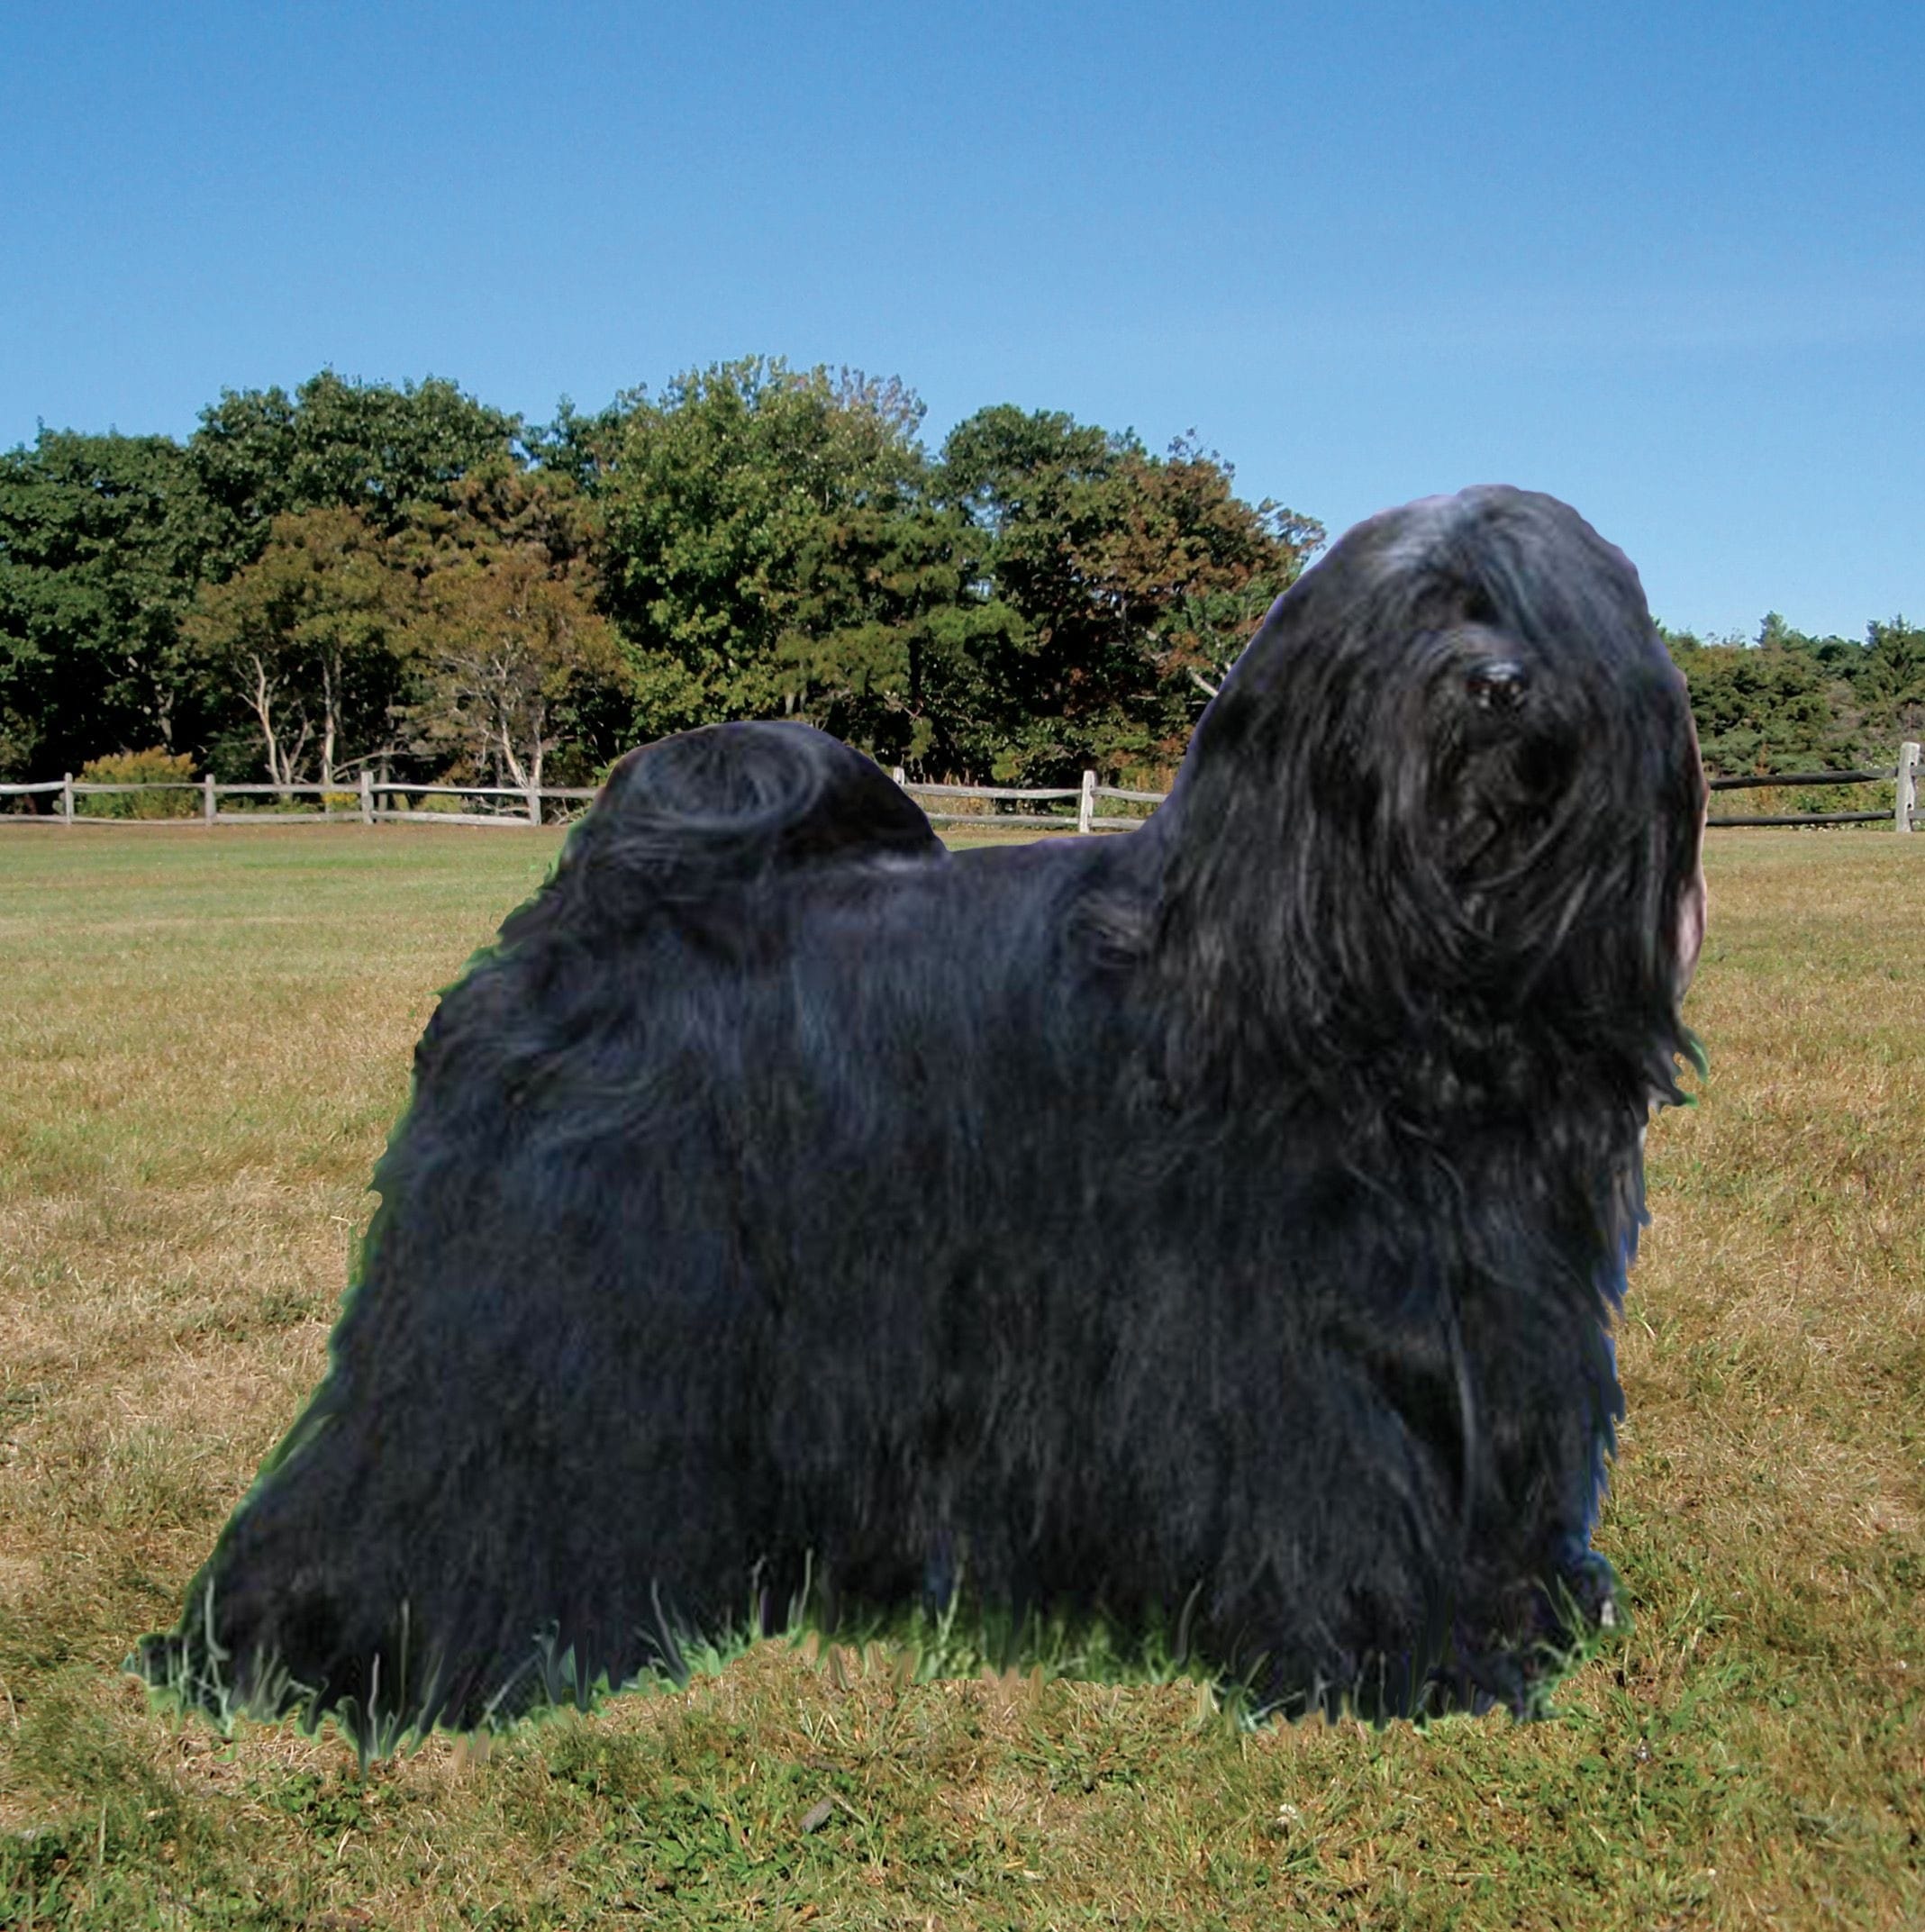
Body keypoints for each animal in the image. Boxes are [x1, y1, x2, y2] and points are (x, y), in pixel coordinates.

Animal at [142, 486, 1708, 1754]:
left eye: (1545, 611)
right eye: (1418, 613)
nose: (1498, 687)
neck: (1402, 990)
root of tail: (593, 904)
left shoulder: (1498, 1319)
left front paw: (1511, 1618)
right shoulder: (1294, 1343)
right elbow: (1339, 1489)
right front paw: (1398, 1661)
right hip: (546, 1299)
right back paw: (342, 1649)